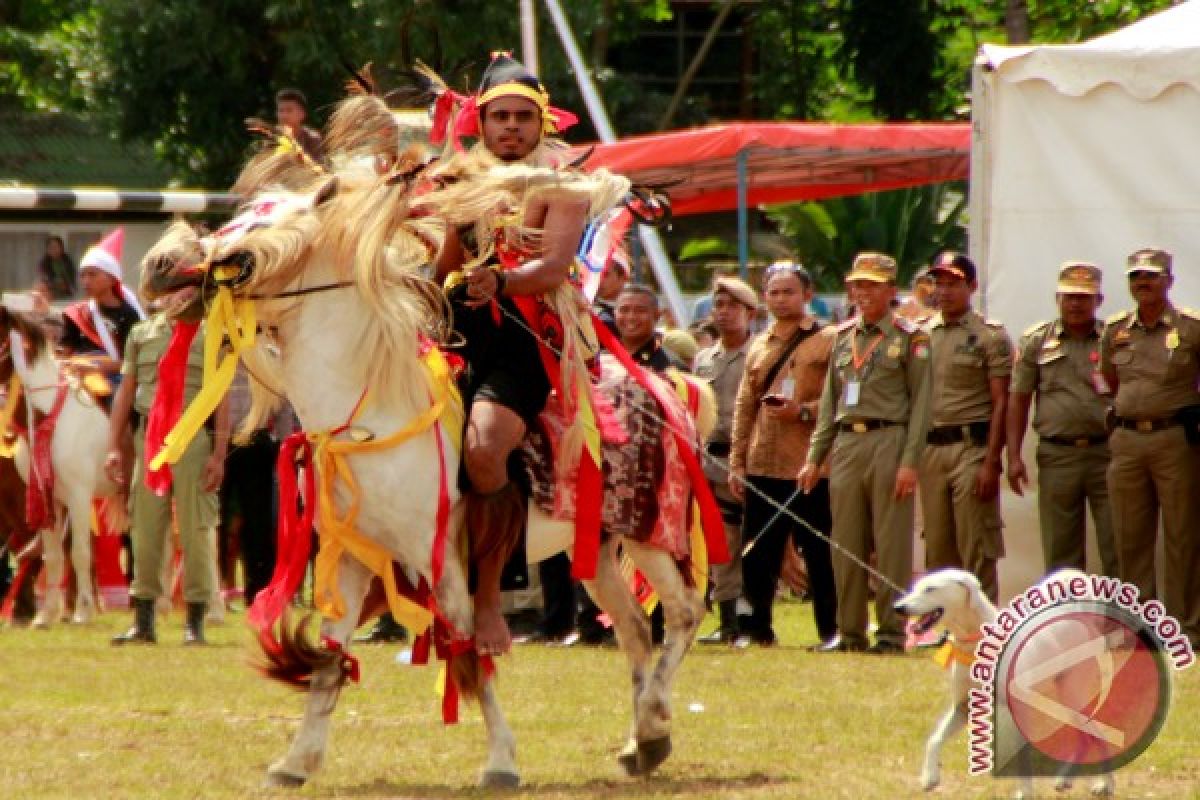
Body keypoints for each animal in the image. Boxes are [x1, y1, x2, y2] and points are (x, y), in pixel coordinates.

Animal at [0, 309, 125, 628]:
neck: (51, 417)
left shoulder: (79, 496)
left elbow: (80, 552)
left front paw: (83, 612)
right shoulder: (50, 498)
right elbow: (54, 556)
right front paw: (45, 615)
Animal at [142, 90, 710, 791]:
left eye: (255, 227)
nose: (160, 264)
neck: (376, 413)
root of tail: (668, 383)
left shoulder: (445, 564)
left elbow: (468, 654)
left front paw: (501, 761)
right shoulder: (353, 556)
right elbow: (331, 659)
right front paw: (296, 762)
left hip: (649, 531)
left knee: (681, 614)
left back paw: (655, 715)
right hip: (596, 544)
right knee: (633, 629)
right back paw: (643, 742)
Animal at [897, 568, 1118, 800]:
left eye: (930, 589)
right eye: (915, 587)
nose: (898, 608)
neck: (978, 646)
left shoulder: (1016, 714)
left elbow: (1021, 758)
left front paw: (1025, 792)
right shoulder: (962, 708)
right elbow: (934, 740)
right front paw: (930, 777)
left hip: (1073, 696)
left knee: (1099, 735)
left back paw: (1106, 785)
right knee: (1084, 738)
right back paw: (1065, 780)